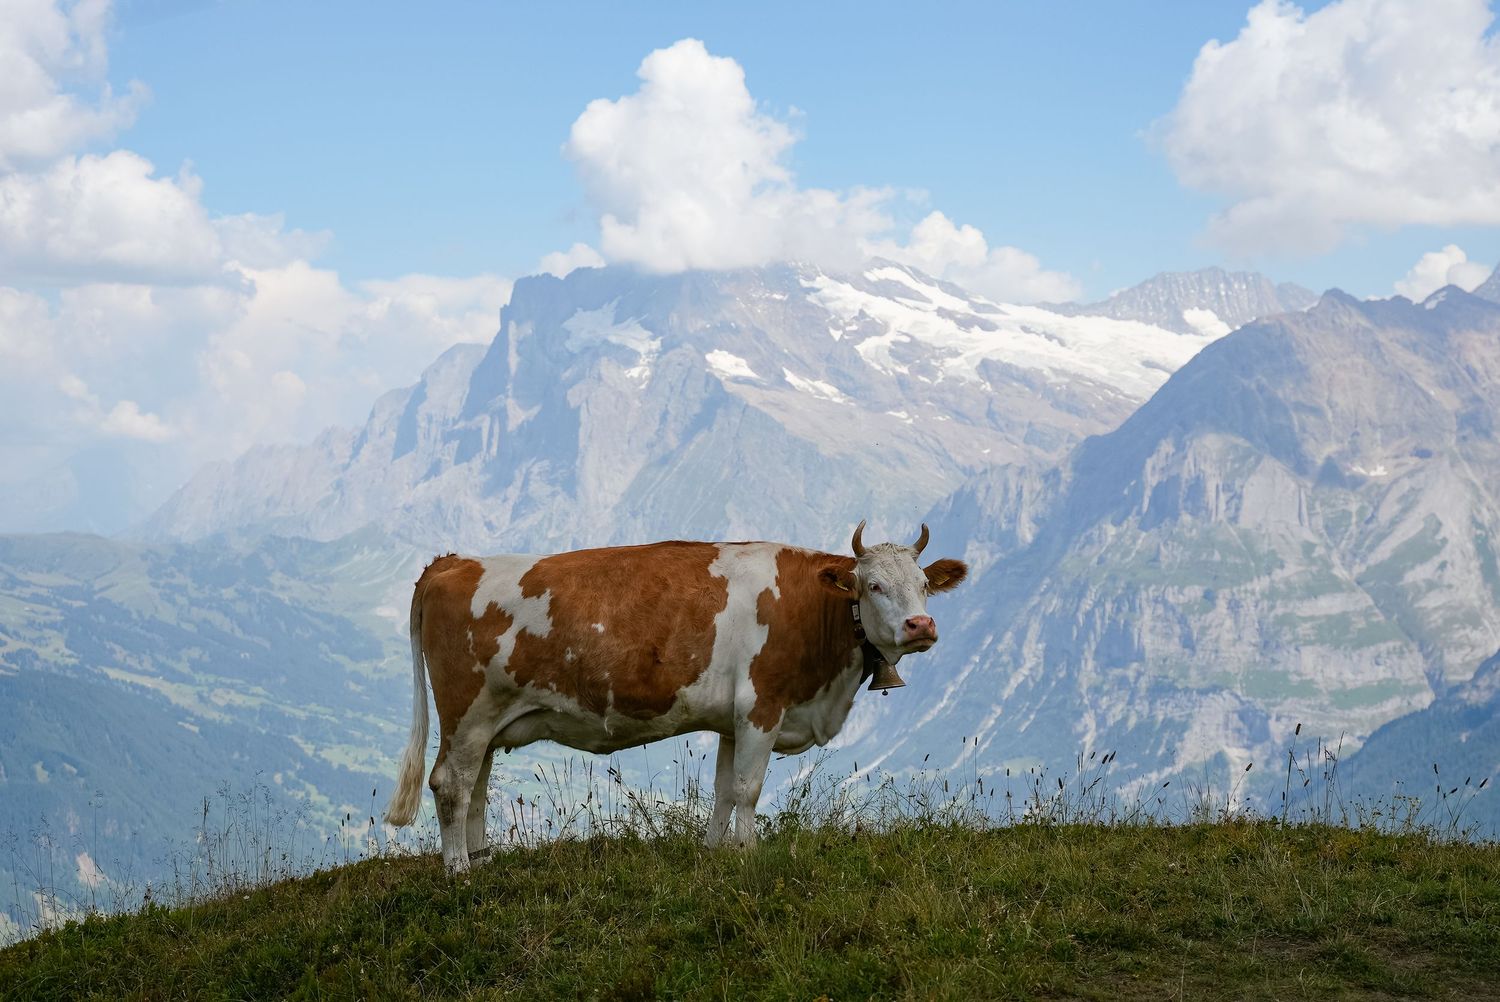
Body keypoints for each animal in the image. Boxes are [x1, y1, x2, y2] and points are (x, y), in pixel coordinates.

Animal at [384, 521, 967, 872]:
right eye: (873, 586)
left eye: (923, 584)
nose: (921, 626)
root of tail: (453, 561)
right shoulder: (762, 706)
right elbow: (749, 790)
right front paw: (747, 856)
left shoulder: (734, 720)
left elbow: (724, 789)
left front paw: (714, 853)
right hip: (467, 710)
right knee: (451, 783)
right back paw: (459, 871)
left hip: (488, 719)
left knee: (476, 784)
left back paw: (483, 862)